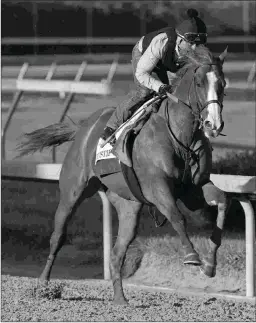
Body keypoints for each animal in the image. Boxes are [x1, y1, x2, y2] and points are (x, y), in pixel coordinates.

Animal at [18, 45, 230, 306]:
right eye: (199, 83)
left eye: (222, 83)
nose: (213, 124)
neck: (181, 137)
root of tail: (83, 128)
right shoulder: (157, 187)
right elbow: (177, 217)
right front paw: (192, 256)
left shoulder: (193, 188)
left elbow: (223, 201)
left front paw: (210, 263)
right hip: (73, 191)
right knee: (58, 236)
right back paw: (44, 286)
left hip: (128, 204)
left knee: (118, 251)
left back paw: (120, 298)